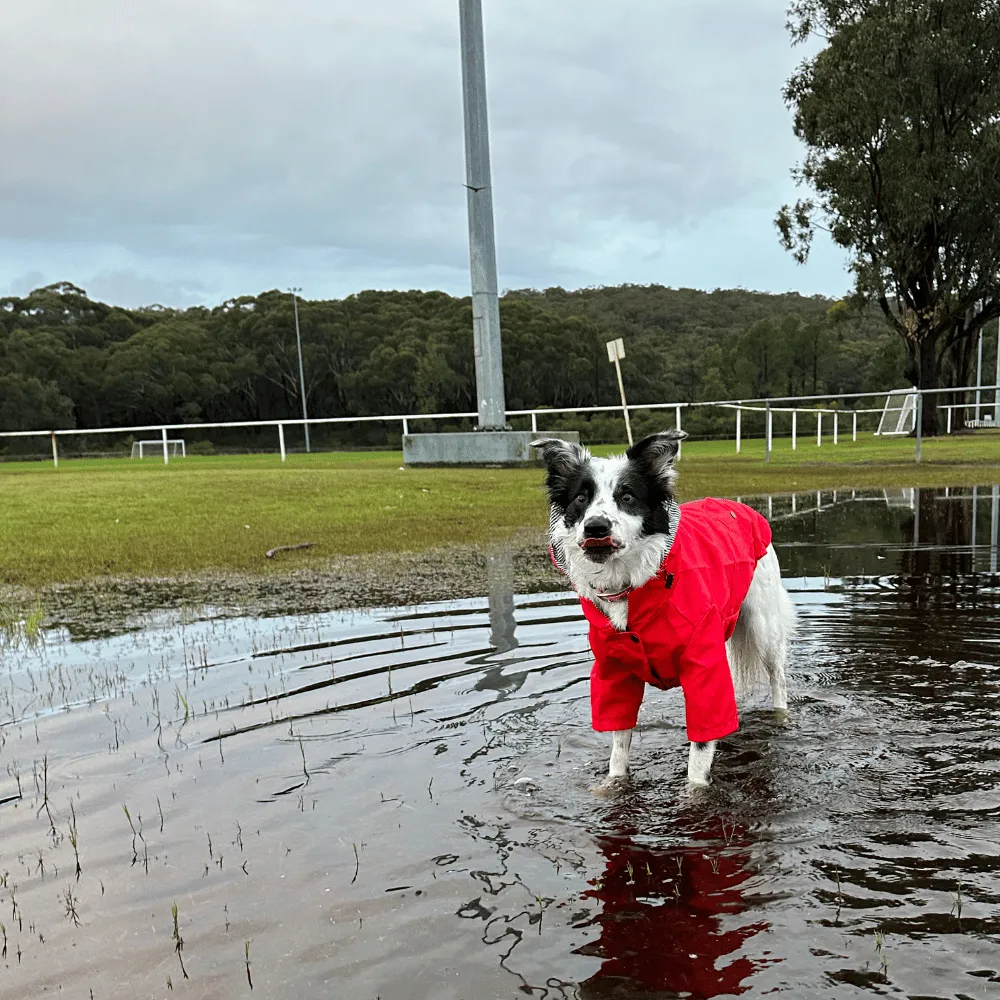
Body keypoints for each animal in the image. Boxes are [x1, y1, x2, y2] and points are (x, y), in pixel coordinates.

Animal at [536, 430, 792, 788]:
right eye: (581, 498)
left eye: (627, 496)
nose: (596, 527)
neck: (632, 584)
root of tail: (736, 505)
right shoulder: (614, 671)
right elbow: (618, 743)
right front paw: (613, 786)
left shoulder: (704, 664)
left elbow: (700, 750)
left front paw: (694, 794)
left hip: (763, 629)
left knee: (777, 678)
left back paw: (781, 717)